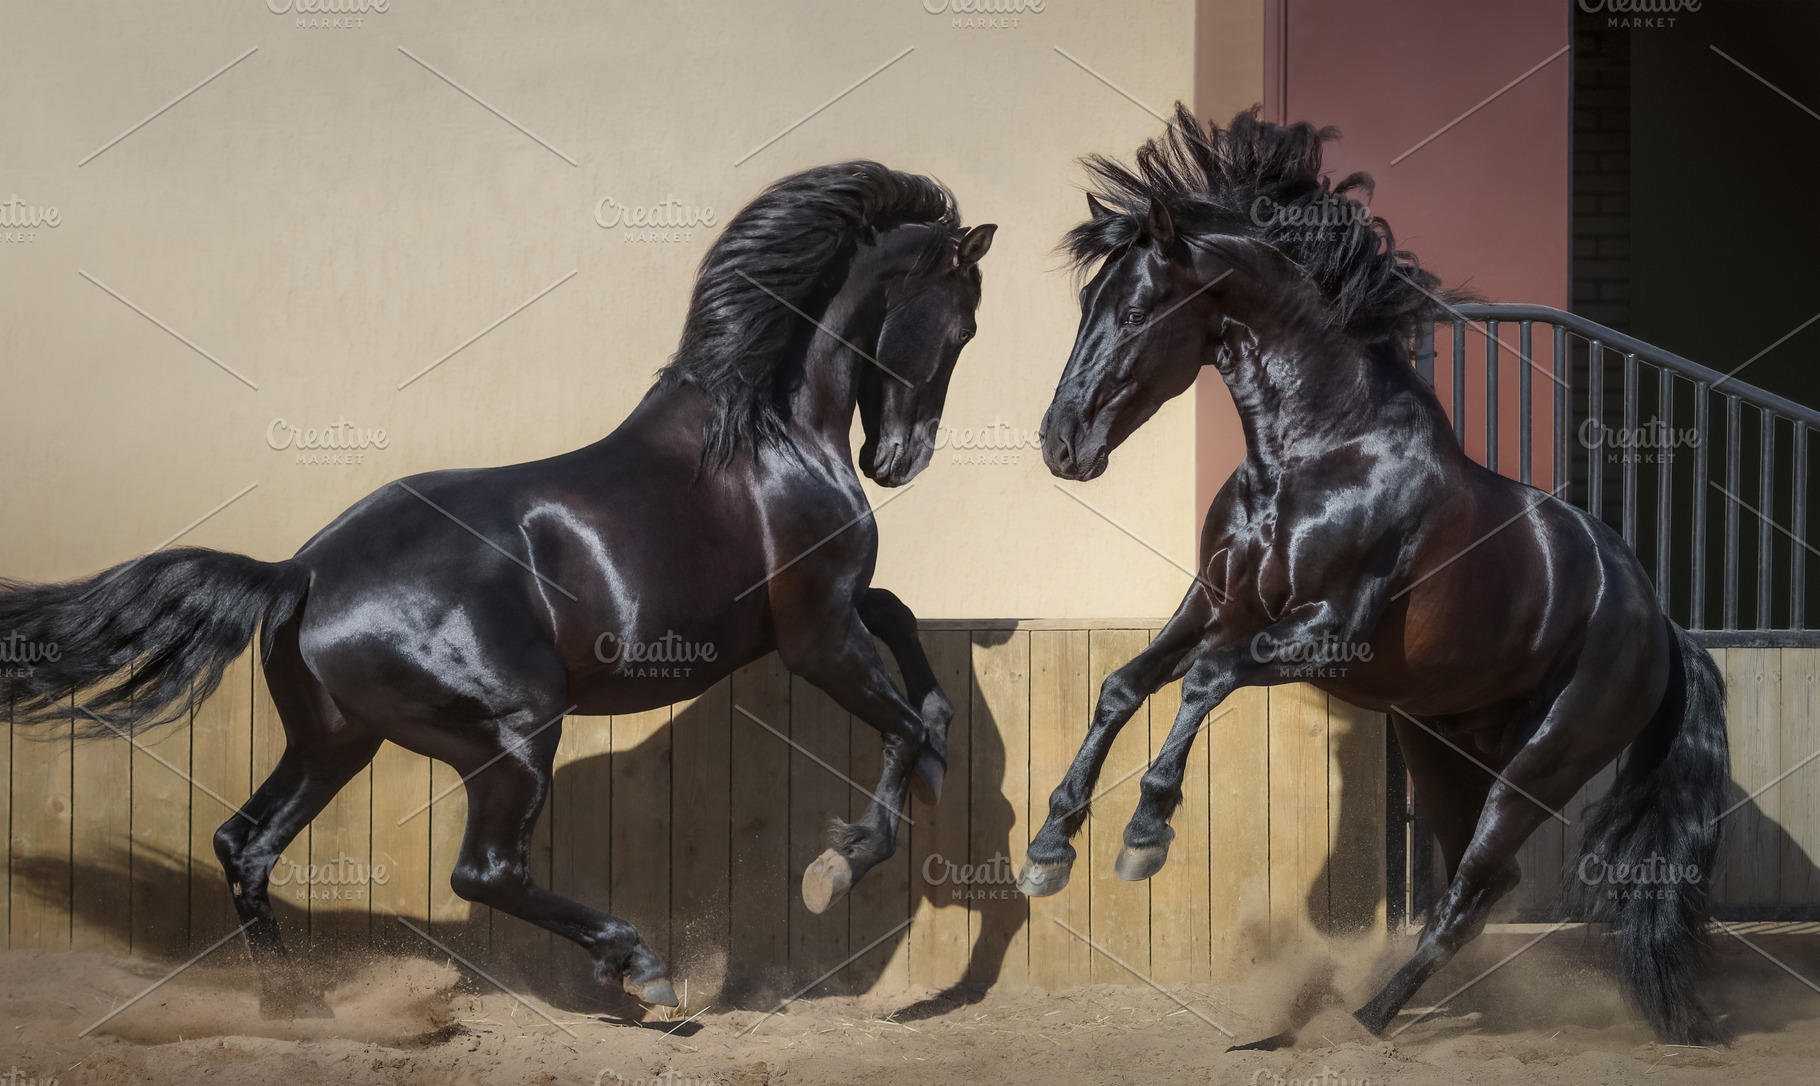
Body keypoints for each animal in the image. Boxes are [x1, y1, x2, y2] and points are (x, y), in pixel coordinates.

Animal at [1, 161, 995, 1018]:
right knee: (482, 873)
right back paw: (642, 970)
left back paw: (301, 1010)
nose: (897, 461)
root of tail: (304, 572)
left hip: (337, 740)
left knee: (246, 845)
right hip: (513, 734)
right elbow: (896, 724)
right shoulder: (814, 632)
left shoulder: (828, 613)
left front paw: (943, 752)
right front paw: (841, 865)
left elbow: (904, 630)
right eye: (963, 328)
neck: (767, 436)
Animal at [1019, 105, 1730, 1046]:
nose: (1061, 444)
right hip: (1437, 746)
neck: (1319, 454)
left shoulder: (1325, 635)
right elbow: (1126, 683)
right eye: (1087, 306)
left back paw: (1363, 1019)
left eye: (1136, 310)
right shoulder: (1217, 603)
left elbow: (1203, 681)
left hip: (1540, 767)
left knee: (1469, 892)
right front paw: (1050, 848)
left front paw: (1144, 833)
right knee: (1481, 886)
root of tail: (1661, 624)